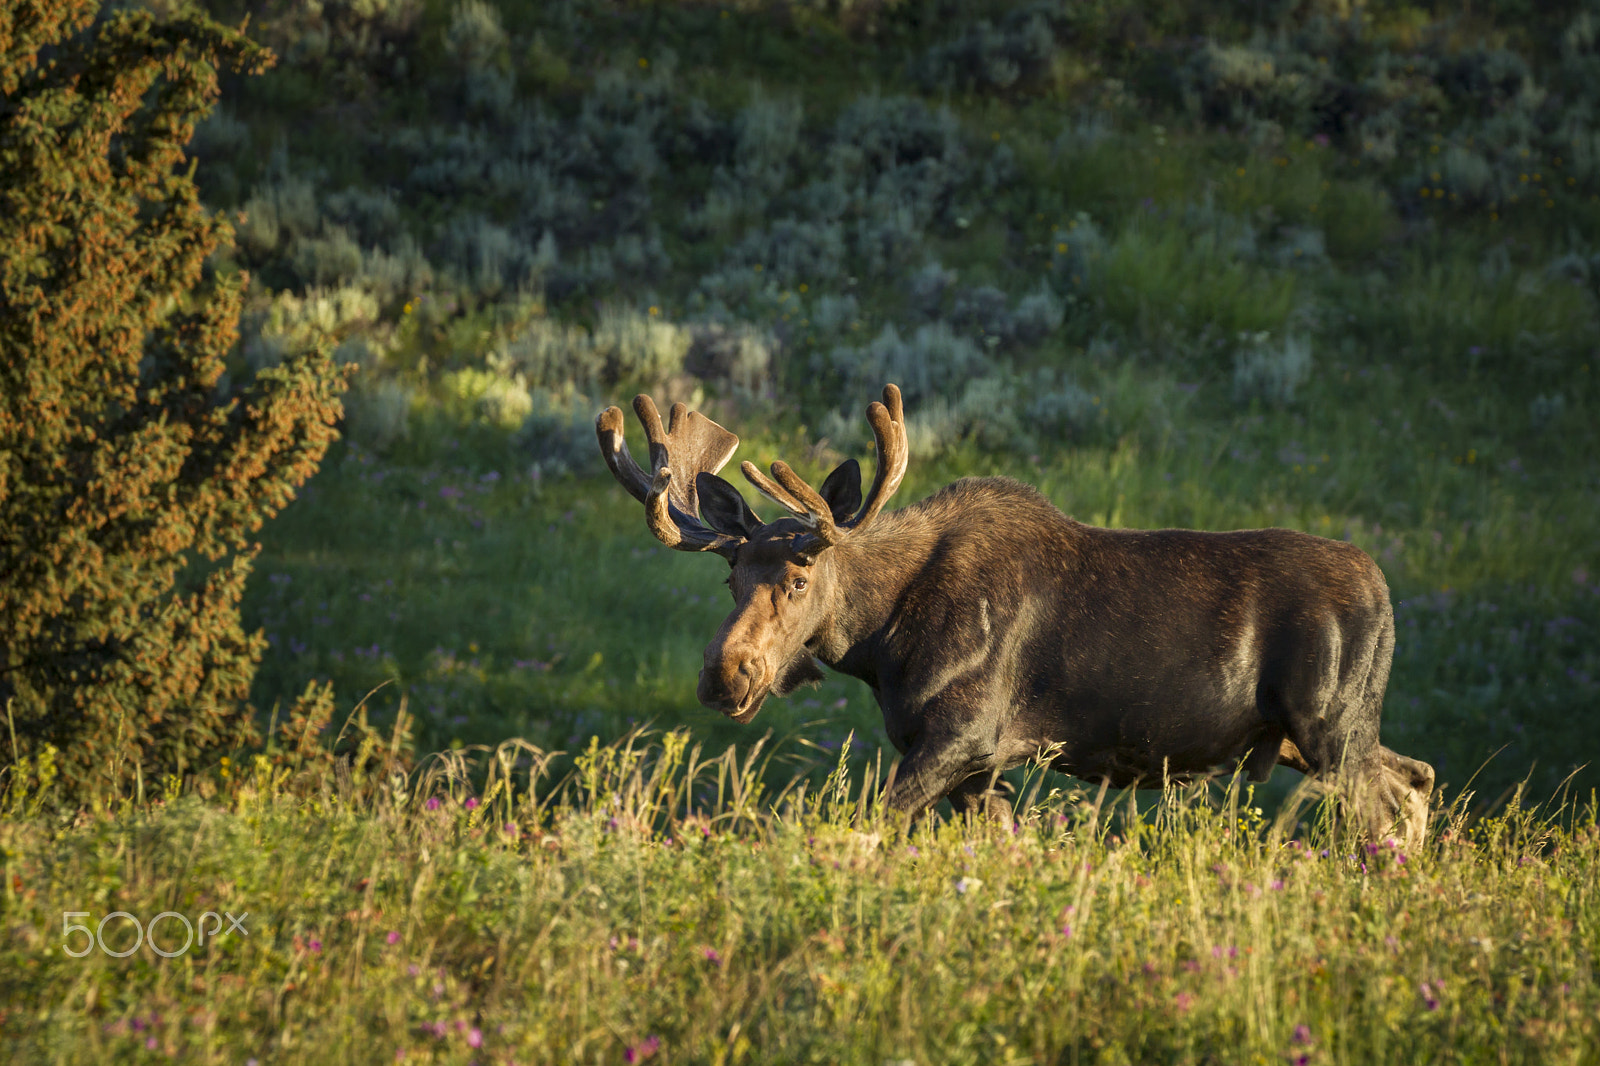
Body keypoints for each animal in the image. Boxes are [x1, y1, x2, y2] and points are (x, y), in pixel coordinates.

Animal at [596, 384, 1435, 847]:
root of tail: (1387, 595)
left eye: (800, 576)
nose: (725, 675)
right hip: (1309, 738)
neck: (881, 643)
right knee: (1418, 779)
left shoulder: (961, 736)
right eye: (730, 576)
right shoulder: (980, 767)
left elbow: (865, 828)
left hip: (1329, 727)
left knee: (1389, 806)